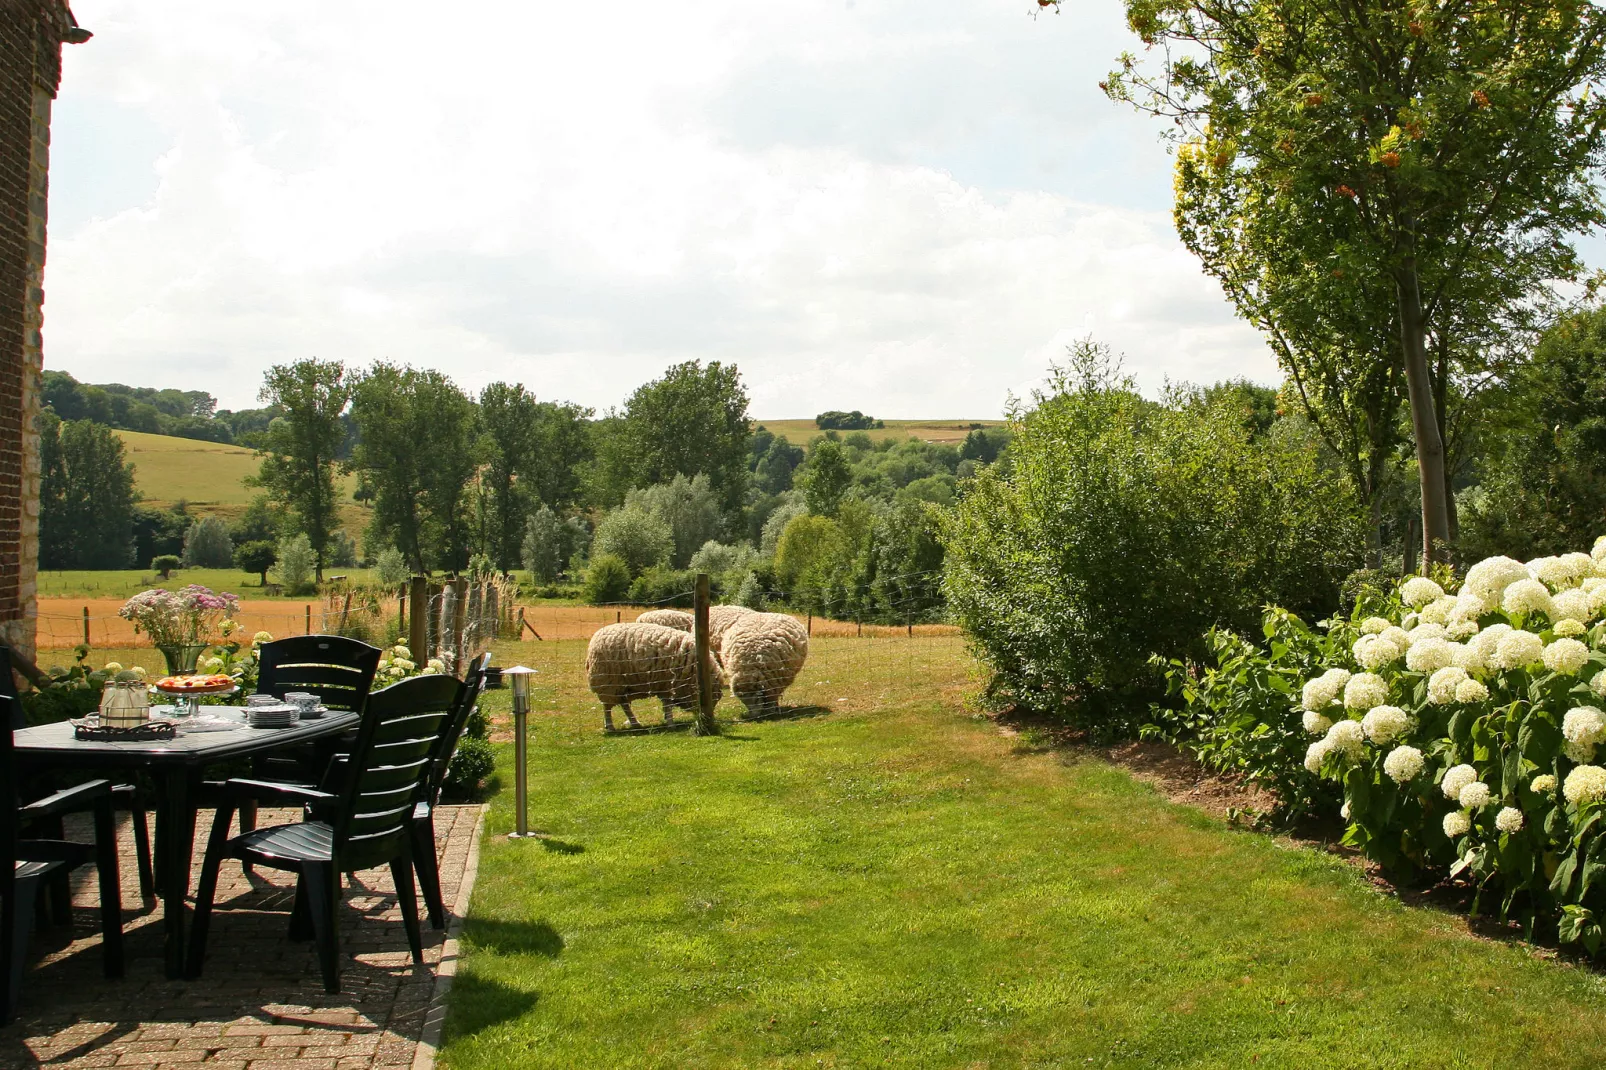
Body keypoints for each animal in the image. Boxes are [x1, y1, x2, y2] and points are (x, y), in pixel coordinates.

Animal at [584, 620, 722, 729]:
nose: (704, 719)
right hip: (608, 683)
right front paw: (671, 723)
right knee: (607, 707)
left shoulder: (665, 685)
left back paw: (635, 723)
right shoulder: (668, 684)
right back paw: (610, 726)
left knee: (624, 705)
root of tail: (593, 641)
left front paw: (668, 719)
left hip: (623, 686)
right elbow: (668, 705)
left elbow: (667, 705)